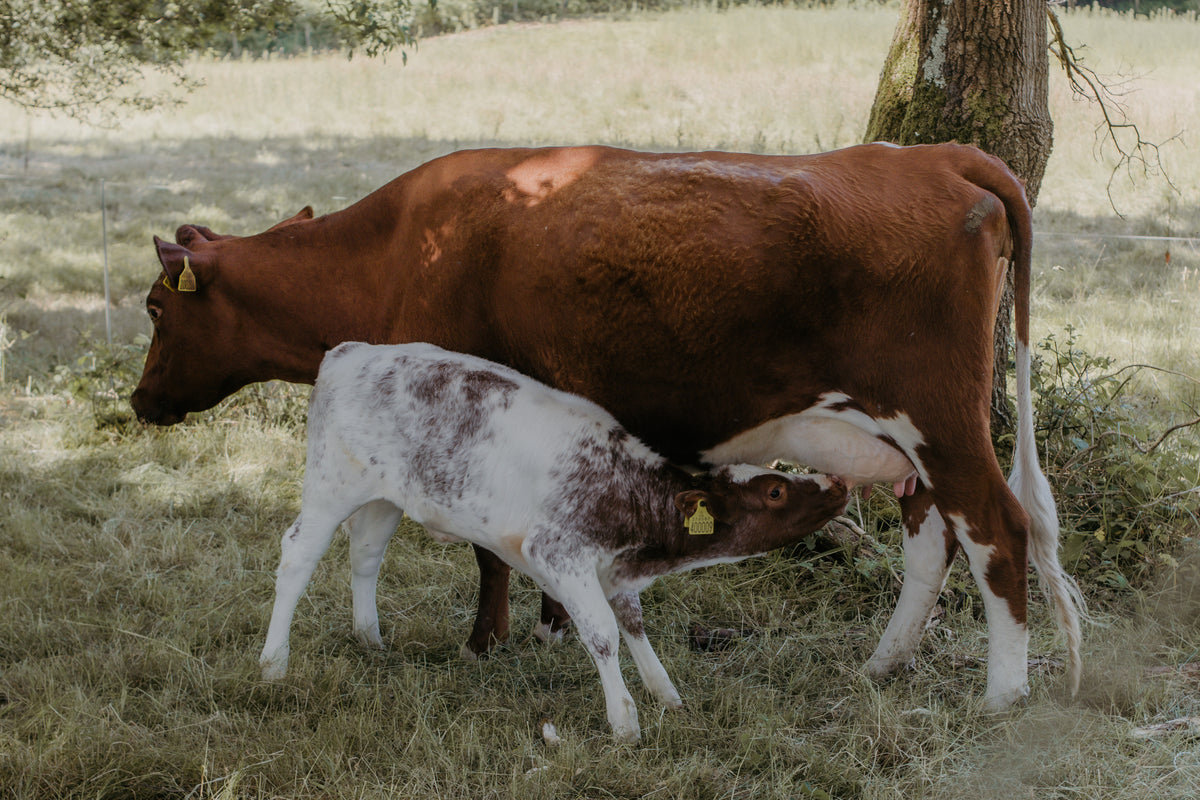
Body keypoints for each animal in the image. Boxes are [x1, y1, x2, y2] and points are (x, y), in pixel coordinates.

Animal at [261, 341, 850, 741]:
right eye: (775, 491)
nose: (839, 483)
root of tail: (352, 351)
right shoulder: (559, 554)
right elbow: (603, 634)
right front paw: (624, 722)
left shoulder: (609, 567)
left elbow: (632, 622)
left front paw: (665, 693)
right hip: (331, 485)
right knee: (297, 557)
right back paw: (273, 664)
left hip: (386, 496)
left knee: (366, 554)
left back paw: (370, 638)